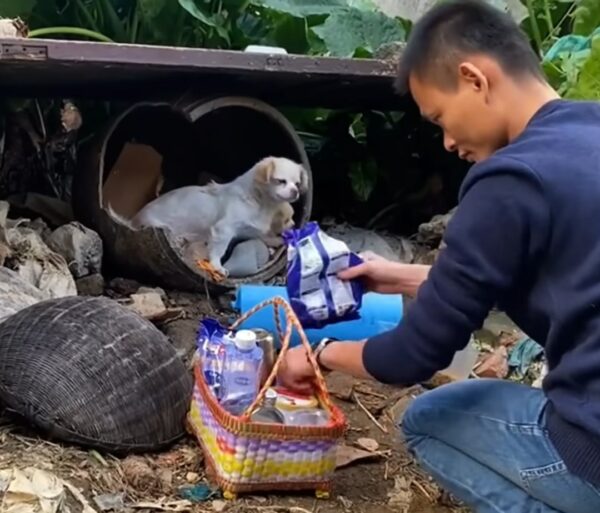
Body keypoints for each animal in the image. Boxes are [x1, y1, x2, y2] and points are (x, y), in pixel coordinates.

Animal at [106, 156, 310, 276]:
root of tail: (134, 221)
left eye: (297, 183)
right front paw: (217, 266)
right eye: (281, 181)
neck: (262, 204)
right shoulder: (224, 230)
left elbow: (263, 236)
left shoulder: (248, 229)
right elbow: (218, 250)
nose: (295, 192)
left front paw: (279, 240)